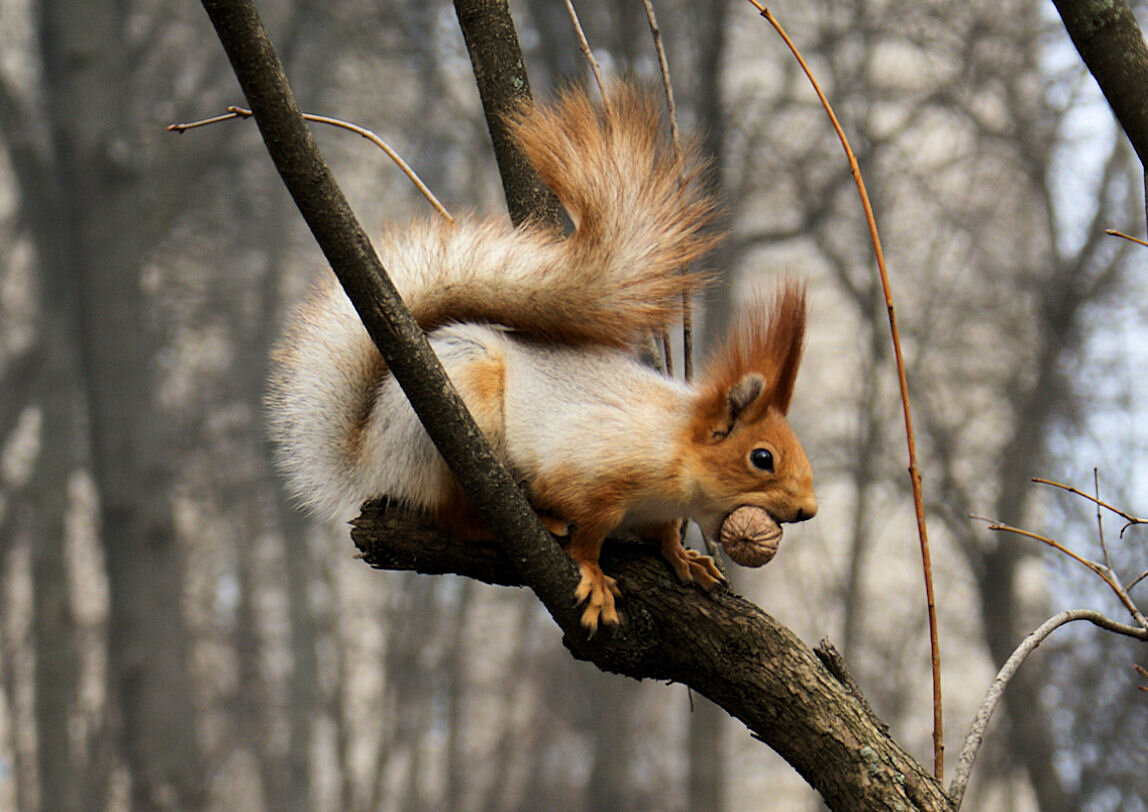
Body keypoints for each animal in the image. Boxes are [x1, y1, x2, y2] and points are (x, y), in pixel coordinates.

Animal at [262, 85, 817, 633]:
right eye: (761, 458)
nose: (808, 510)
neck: (673, 448)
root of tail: (372, 453)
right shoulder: (593, 473)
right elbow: (589, 530)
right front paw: (593, 574)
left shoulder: (660, 510)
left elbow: (663, 534)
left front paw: (683, 557)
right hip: (459, 428)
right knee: (455, 516)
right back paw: (524, 522)